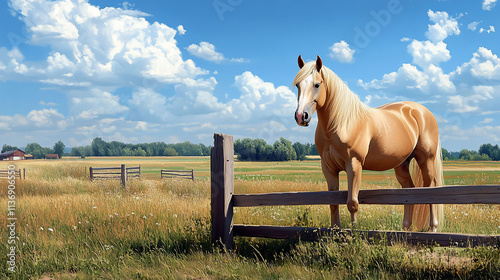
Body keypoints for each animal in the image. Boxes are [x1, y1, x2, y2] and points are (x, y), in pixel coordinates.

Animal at [292, 55, 444, 232]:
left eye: (317, 84)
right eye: (298, 85)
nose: (301, 116)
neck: (341, 123)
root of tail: (422, 111)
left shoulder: (354, 164)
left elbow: (352, 202)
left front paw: (354, 232)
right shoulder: (328, 168)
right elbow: (333, 203)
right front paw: (335, 231)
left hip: (426, 159)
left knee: (430, 190)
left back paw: (433, 228)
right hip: (402, 165)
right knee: (409, 191)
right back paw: (405, 228)